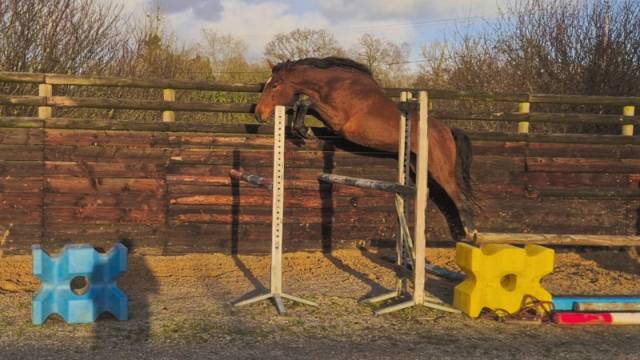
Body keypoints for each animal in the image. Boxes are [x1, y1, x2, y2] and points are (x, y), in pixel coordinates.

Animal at [255, 57, 476, 240]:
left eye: (274, 85)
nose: (258, 114)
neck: (335, 86)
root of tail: (447, 130)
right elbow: (302, 102)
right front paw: (301, 128)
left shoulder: (339, 121)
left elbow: (307, 101)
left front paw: (304, 130)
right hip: (417, 163)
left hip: (440, 169)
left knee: (460, 199)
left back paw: (471, 235)